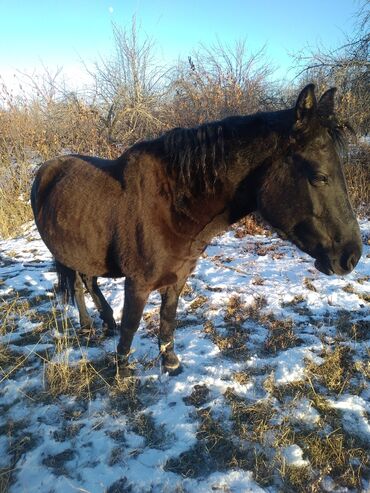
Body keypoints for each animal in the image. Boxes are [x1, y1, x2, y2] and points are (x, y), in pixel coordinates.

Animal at [31, 84, 362, 374]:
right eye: (319, 177)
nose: (352, 256)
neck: (170, 207)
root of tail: (45, 169)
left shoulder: (178, 277)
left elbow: (168, 318)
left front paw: (170, 363)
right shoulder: (138, 283)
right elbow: (132, 324)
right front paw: (122, 369)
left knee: (89, 280)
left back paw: (105, 322)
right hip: (64, 253)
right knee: (77, 285)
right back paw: (88, 327)